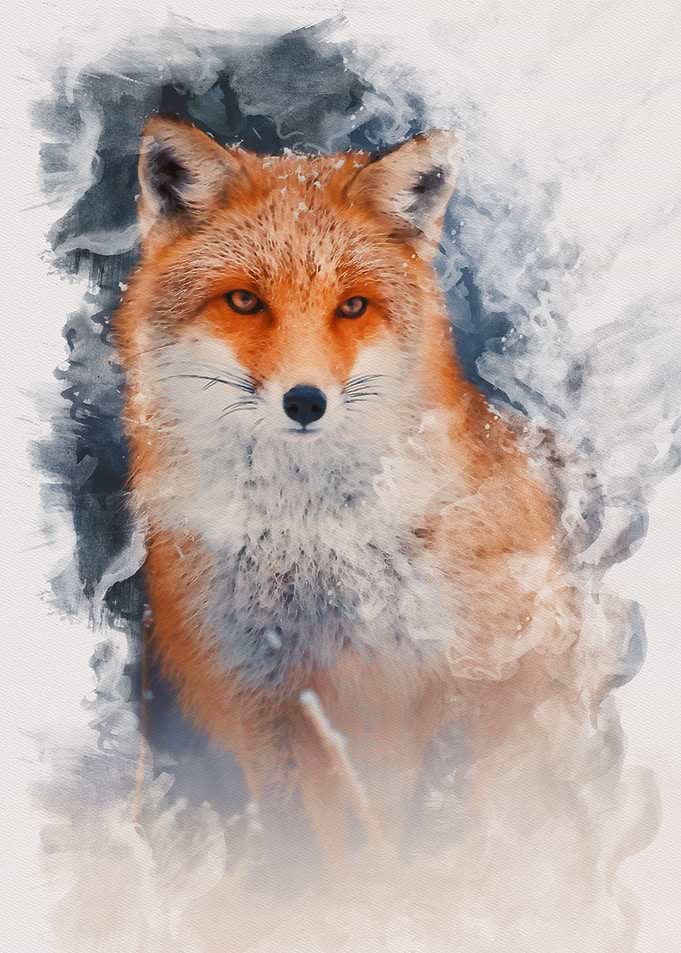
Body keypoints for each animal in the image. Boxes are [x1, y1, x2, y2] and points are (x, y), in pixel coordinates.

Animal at [115, 116, 584, 872]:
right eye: (244, 300)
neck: (314, 548)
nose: (306, 402)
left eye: (353, 307)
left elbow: (441, 815)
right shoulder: (261, 695)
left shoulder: (475, 670)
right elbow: (298, 839)